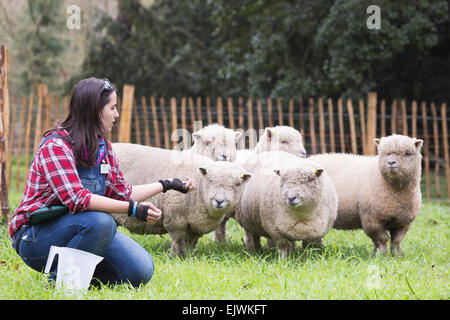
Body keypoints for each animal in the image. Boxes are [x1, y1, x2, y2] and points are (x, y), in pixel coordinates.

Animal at [111, 142, 251, 258]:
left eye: (237, 184)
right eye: (210, 180)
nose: (219, 201)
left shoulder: (196, 226)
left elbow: (191, 242)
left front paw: (189, 256)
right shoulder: (175, 218)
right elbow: (178, 240)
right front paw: (176, 257)